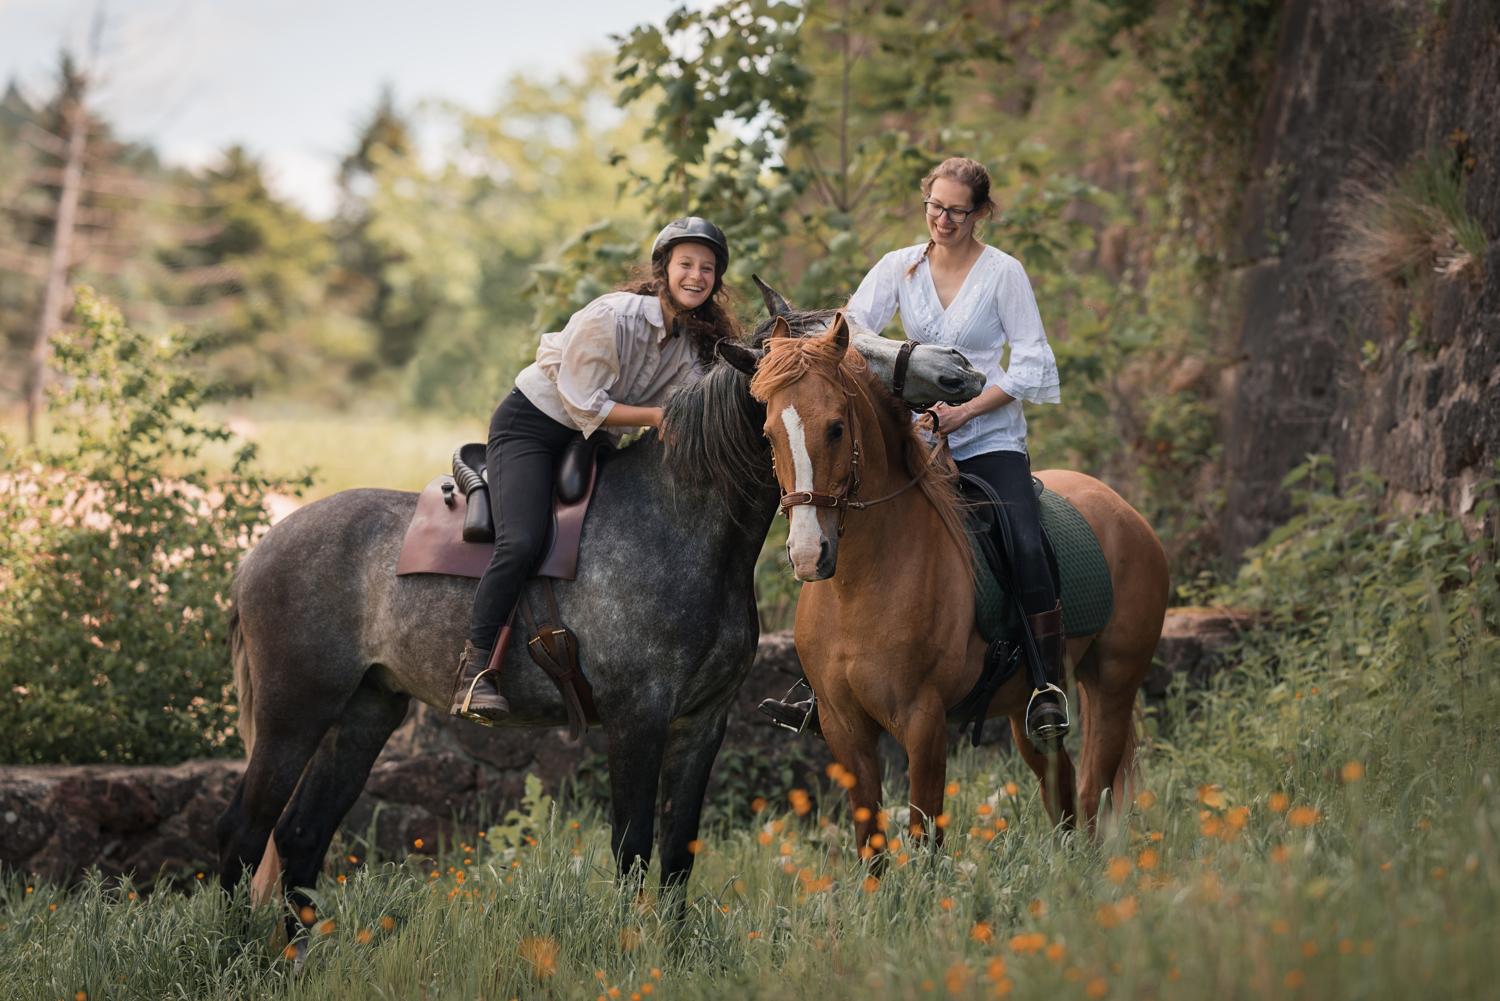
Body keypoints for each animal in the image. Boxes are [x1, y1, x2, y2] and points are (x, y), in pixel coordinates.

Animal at [214, 288, 984, 924]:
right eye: (855, 348)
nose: (956, 370)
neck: (678, 522)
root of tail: (260, 550)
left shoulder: (704, 720)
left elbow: (677, 853)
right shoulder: (636, 717)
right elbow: (632, 847)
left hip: (365, 712)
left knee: (299, 837)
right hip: (293, 714)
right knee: (244, 833)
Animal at [738, 313, 1170, 846]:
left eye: (836, 429)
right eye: (769, 434)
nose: (806, 554)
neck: (859, 587)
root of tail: (1125, 511)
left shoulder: (924, 722)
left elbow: (926, 837)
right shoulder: (845, 729)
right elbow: (871, 846)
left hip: (1113, 685)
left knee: (1092, 790)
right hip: (1024, 711)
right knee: (1062, 787)